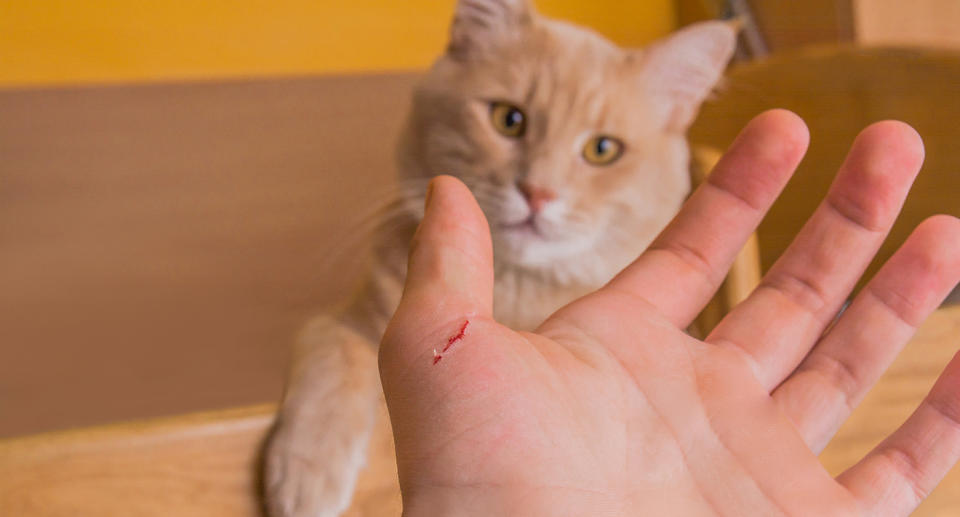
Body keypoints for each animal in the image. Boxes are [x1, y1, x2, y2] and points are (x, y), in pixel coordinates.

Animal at [262, 2, 736, 512]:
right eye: (509, 120)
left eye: (602, 150)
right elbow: (332, 367)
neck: (512, 289)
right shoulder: (342, 322)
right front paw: (308, 471)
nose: (538, 193)